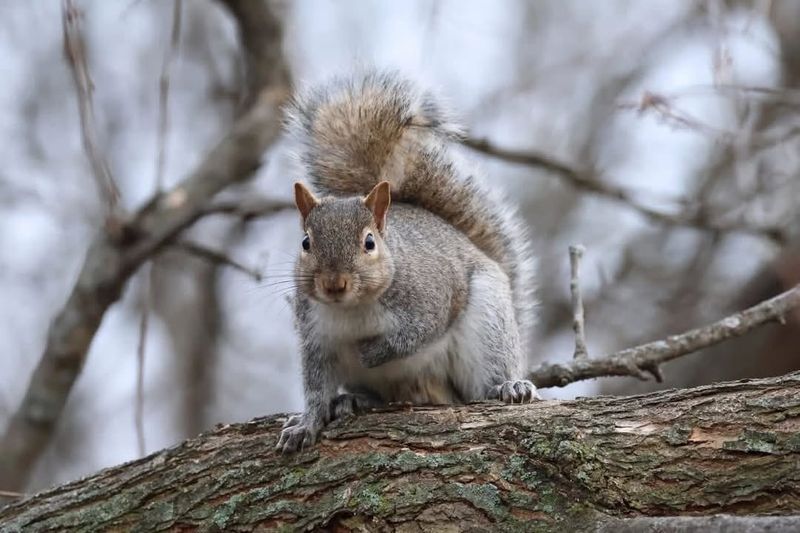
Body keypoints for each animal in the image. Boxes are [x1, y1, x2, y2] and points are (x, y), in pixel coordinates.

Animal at [277, 71, 539, 453]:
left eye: (370, 242)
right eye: (305, 243)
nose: (333, 284)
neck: (353, 309)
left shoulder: (431, 298)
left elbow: (416, 334)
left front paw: (370, 352)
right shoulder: (315, 337)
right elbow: (315, 389)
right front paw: (305, 424)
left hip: (488, 324)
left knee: (484, 381)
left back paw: (508, 387)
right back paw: (354, 400)